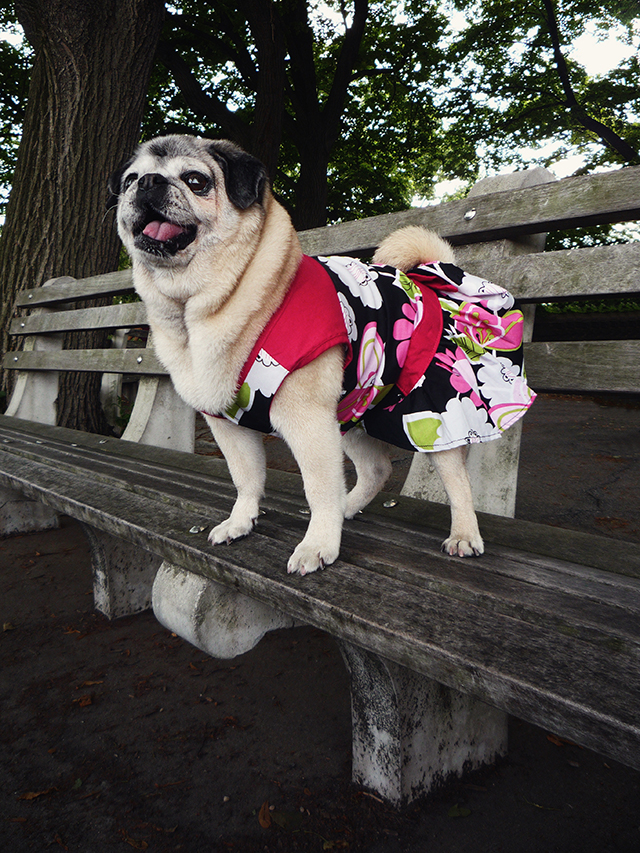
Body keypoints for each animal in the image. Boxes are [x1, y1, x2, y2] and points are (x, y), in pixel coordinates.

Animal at [111, 135, 536, 572]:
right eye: (128, 180)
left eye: (196, 181)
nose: (147, 182)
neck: (199, 308)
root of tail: (429, 283)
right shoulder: (228, 425)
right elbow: (246, 479)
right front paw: (241, 522)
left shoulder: (308, 421)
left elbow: (319, 488)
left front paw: (318, 544)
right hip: (354, 407)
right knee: (376, 468)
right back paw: (349, 508)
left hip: (431, 404)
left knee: (456, 480)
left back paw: (464, 534)